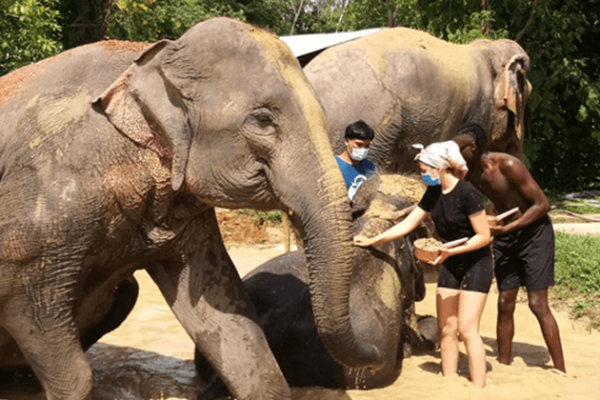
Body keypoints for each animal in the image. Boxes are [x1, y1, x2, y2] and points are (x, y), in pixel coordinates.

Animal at [0, 17, 380, 398]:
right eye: (263, 121)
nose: (377, 355)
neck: (152, 58)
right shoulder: (41, 196)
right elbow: (26, 303)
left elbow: (227, 317)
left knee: (129, 292)